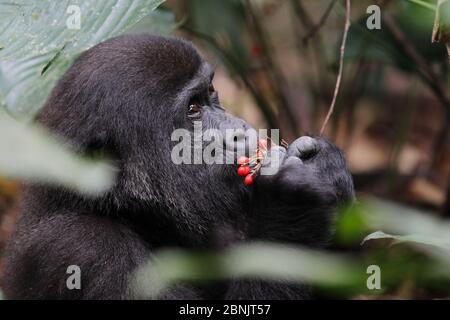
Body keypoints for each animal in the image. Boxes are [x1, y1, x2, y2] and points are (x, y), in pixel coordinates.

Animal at [3, 33, 356, 298]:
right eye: (193, 109)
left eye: (211, 93)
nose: (242, 130)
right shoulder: (85, 250)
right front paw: (292, 206)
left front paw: (329, 170)